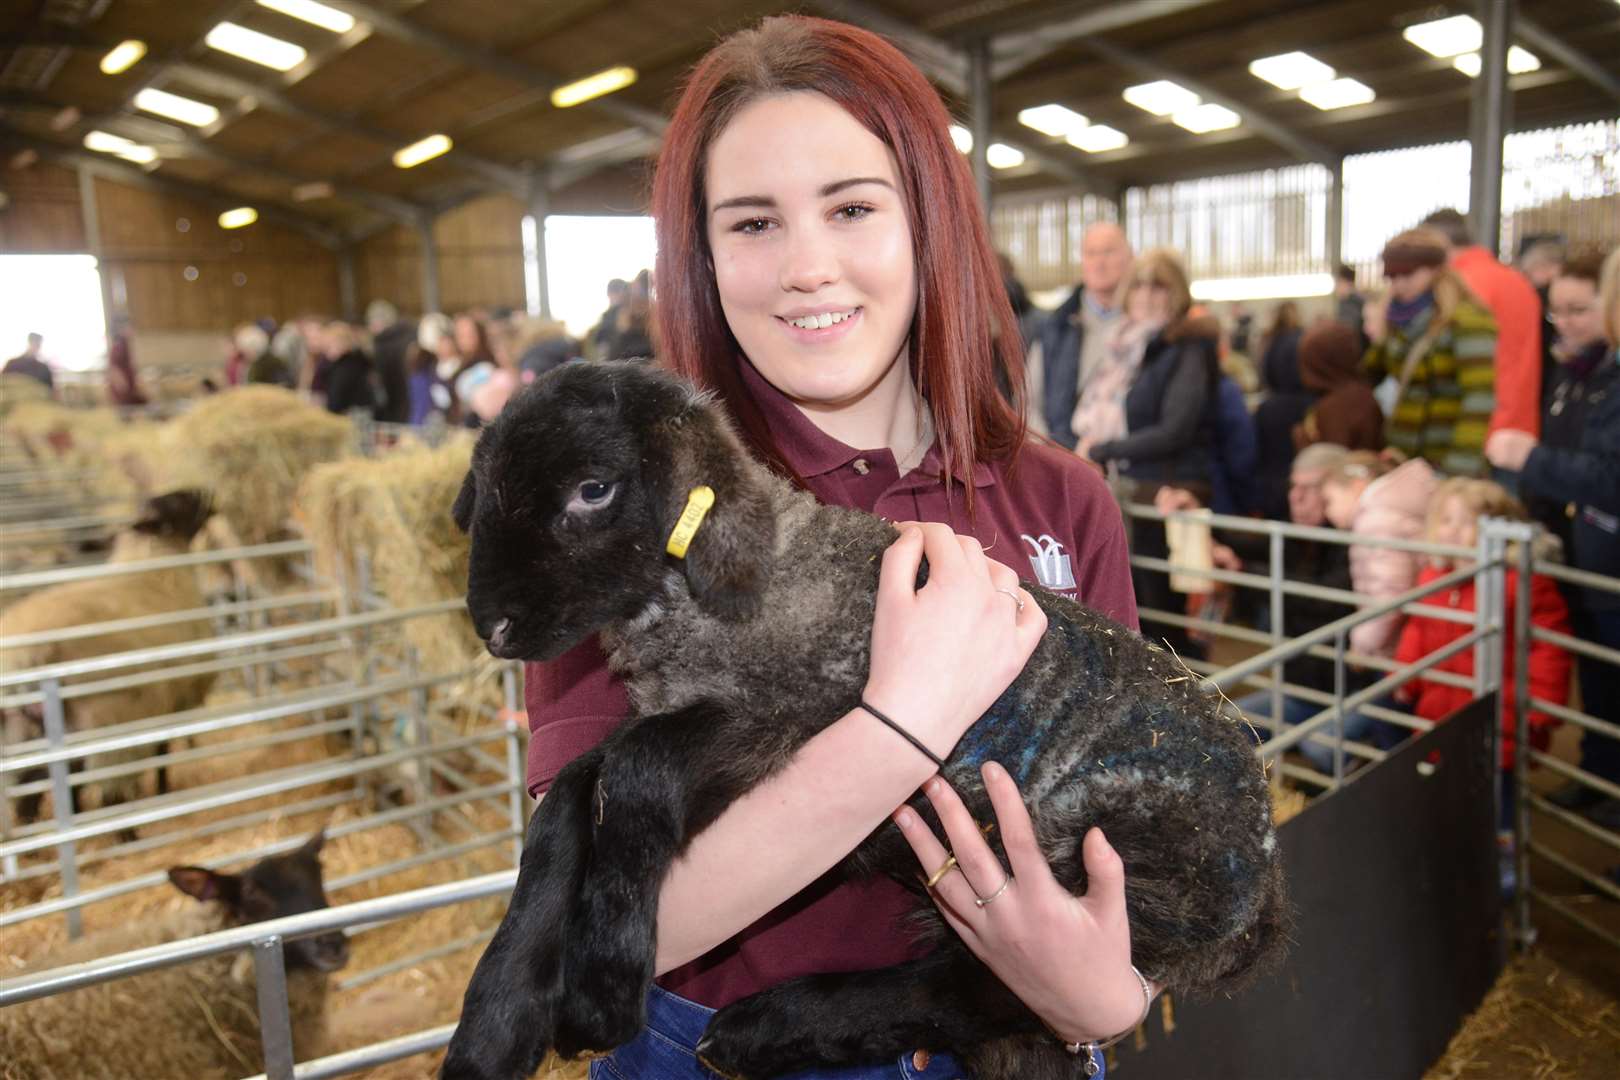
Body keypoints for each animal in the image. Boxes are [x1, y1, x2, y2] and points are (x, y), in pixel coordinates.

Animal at [443, 361, 1289, 1080]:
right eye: (484, 487)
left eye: (592, 489)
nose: (494, 628)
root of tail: (1263, 900)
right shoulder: (679, 712)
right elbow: (565, 807)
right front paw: (494, 1028)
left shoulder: (787, 722)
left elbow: (638, 773)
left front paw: (603, 992)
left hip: (1107, 880)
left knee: (977, 992)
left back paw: (761, 1030)